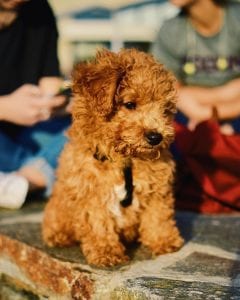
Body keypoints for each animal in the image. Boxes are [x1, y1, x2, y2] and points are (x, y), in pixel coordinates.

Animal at [41, 49, 184, 268]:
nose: (156, 137)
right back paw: (59, 236)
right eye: (130, 104)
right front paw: (106, 253)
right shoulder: (91, 191)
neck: (124, 158)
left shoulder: (158, 186)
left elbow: (158, 214)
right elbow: (98, 223)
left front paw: (164, 241)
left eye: (165, 110)